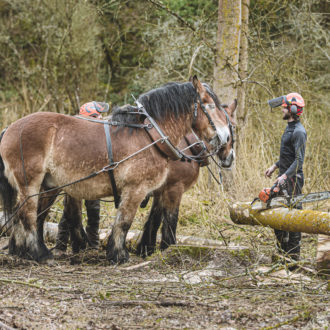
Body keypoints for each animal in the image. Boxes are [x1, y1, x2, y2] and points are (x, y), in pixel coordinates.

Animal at [0, 76, 232, 262]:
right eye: (210, 106)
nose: (225, 138)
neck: (149, 136)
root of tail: (10, 128)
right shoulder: (137, 189)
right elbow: (124, 221)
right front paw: (118, 255)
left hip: (47, 185)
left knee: (28, 216)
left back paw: (24, 251)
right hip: (30, 183)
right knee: (28, 216)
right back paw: (38, 254)